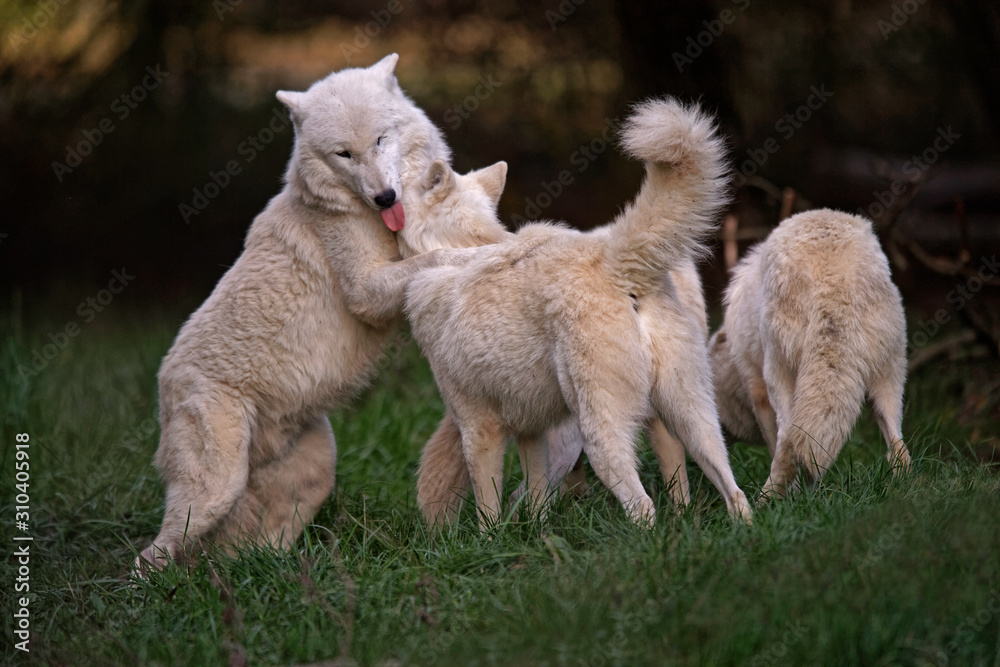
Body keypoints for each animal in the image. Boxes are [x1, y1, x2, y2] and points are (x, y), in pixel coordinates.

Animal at [134, 53, 460, 576]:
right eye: (344, 154)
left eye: (380, 140)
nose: (385, 198)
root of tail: (164, 381)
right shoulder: (367, 291)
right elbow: (436, 258)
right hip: (213, 492)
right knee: (151, 557)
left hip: (316, 470)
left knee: (252, 546)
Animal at [712, 210, 916, 500]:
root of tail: (833, 277)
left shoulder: (758, 391)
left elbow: (777, 446)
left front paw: (794, 496)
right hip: (890, 380)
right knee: (899, 447)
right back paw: (903, 493)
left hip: (780, 376)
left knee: (787, 441)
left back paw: (766, 502)